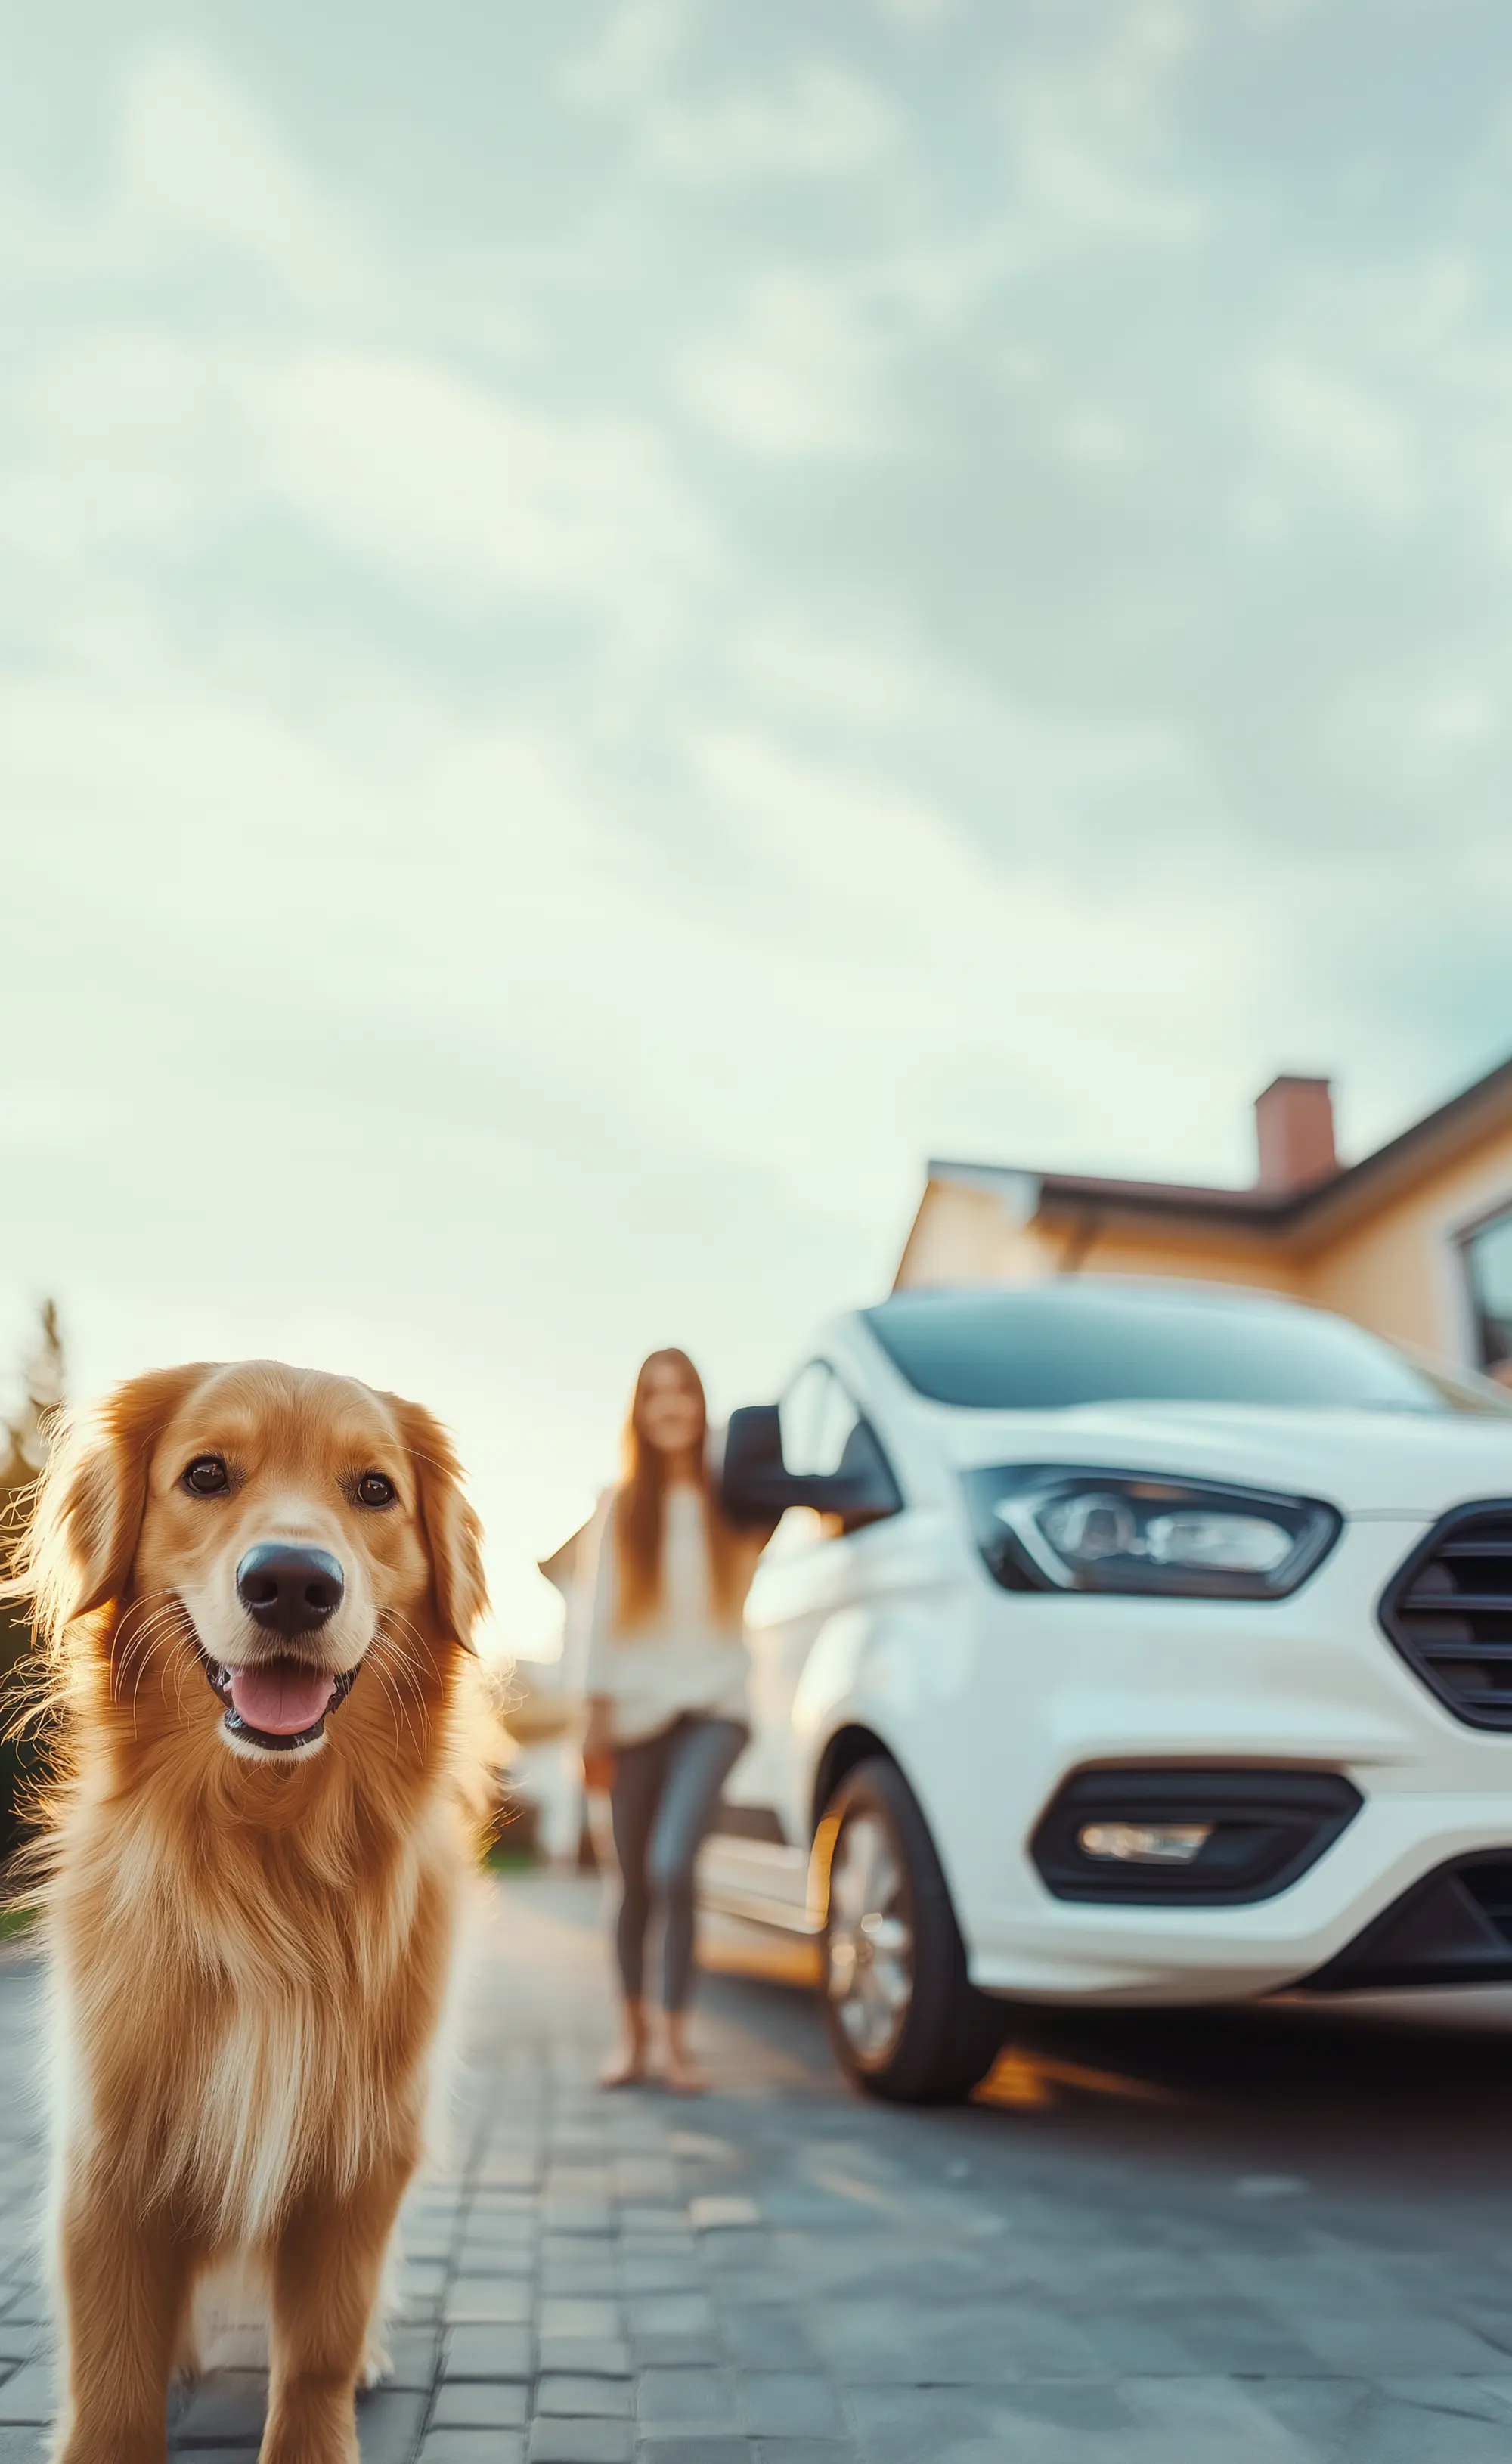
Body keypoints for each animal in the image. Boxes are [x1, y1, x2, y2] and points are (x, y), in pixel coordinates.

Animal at [4, 1359, 492, 2464]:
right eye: (206, 1473)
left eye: (375, 1490)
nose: (293, 1582)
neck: (266, 1861)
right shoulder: (109, 2162)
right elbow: (112, 2389)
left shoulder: (359, 2161)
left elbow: (314, 2361)